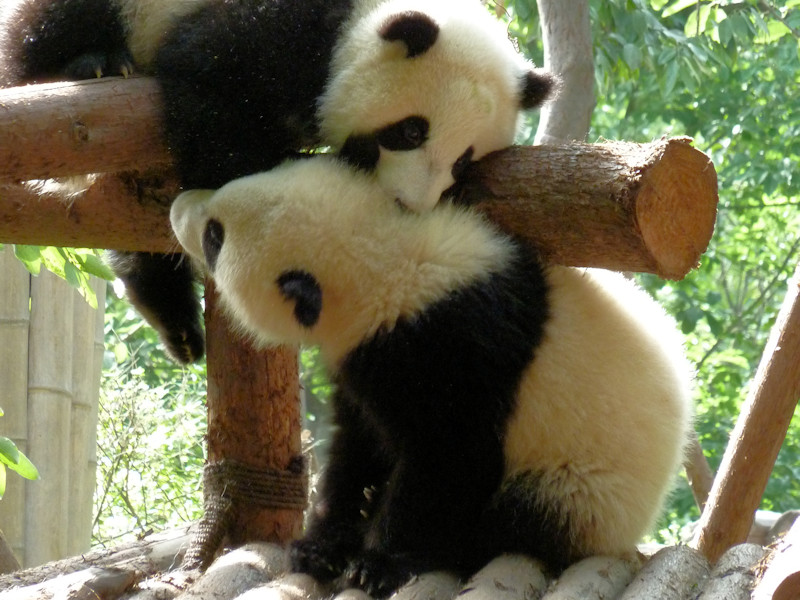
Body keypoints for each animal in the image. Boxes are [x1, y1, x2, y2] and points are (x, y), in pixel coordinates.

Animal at [0, 0, 554, 363]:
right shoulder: (268, 30)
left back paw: (175, 323)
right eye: (411, 131)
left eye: (463, 161)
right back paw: (92, 64)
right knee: (46, 31)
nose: (409, 202)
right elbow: (207, 83)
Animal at [169, 156, 694, 598]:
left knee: (522, 517)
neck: (379, 260)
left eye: (214, 237)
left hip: (585, 485)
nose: (178, 208)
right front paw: (320, 546)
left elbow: (447, 458)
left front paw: (378, 562)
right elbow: (357, 444)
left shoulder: (449, 348)